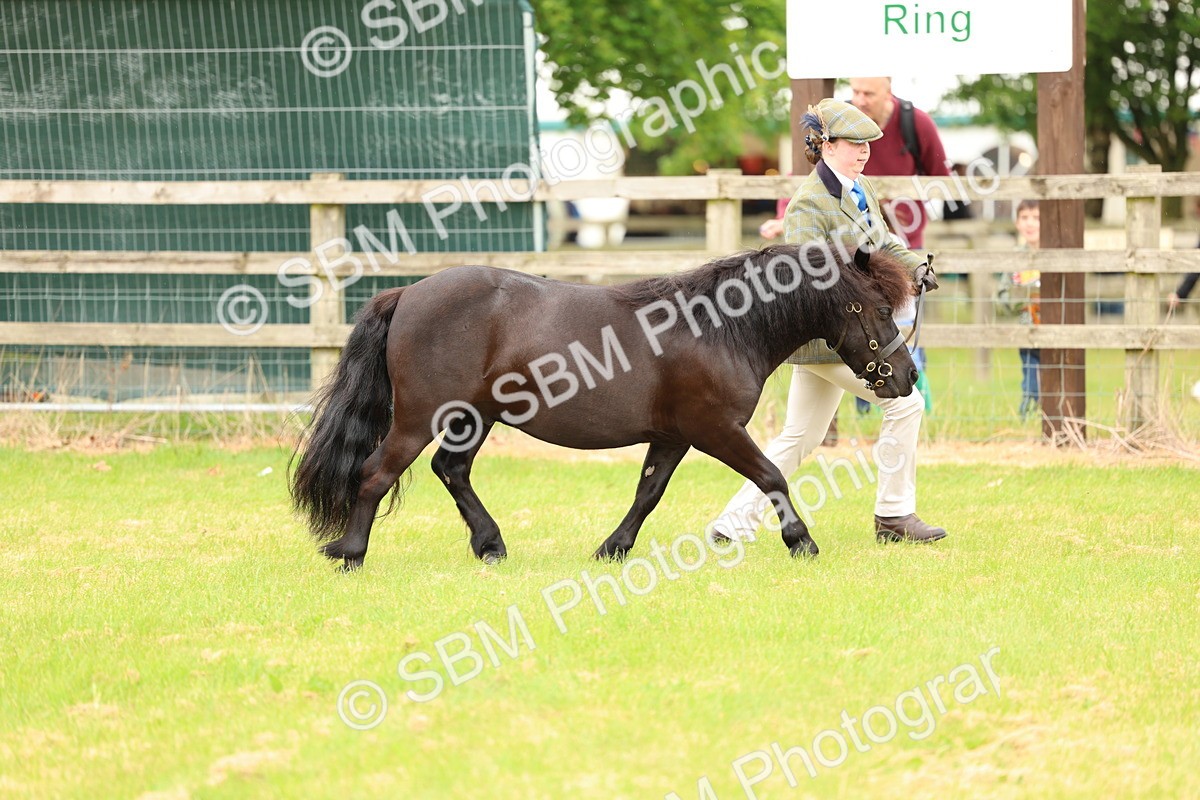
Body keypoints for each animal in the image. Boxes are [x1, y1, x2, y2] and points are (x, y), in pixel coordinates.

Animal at [290, 243, 919, 570]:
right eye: (878, 309)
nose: (908, 376)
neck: (720, 327)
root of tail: (409, 293)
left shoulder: (673, 436)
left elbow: (648, 493)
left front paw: (613, 548)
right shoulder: (715, 429)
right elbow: (772, 476)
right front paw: (801, 541)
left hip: (474, 418)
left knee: (452, 470)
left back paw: (490, 546)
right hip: (421, 417)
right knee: (375, 473)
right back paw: (350, 553)